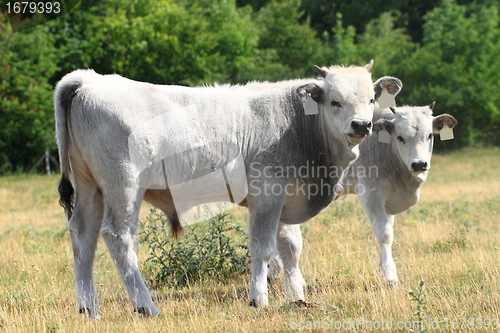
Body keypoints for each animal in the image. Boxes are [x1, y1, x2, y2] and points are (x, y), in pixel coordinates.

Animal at [53, 62, 402, 316]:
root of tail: (88, 80)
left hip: (91, 189)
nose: (362, 125)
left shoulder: (286, 199)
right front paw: (259, 299)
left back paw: (89, 309)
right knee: (118, 236)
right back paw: (146, 306)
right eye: (334, 101)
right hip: (123, 185)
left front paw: (297, 297)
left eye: (371, 99)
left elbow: (290, 248)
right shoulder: (267, 194)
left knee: (83, 237)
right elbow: (262, 248)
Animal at [270, 103, 458, 290]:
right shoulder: (371, 192)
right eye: (400, 137)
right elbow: (384, 233)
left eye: (430, 136)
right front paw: (389, 277)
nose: (419, 164)